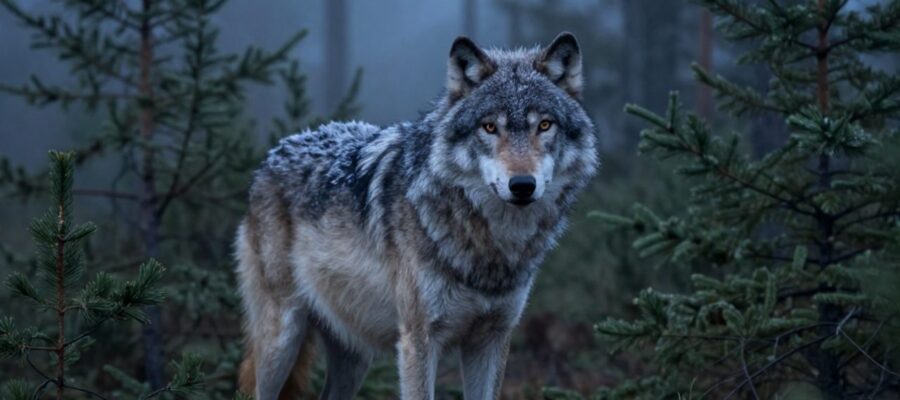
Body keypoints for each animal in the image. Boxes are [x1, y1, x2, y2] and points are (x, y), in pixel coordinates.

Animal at [236, 32, 598, 400]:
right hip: (281, 339)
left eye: (544, 125)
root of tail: (274, 152)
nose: (522, 185)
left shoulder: (492, 338)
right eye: (489, 127)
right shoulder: (419, 340)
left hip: (354, 354)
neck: (490, 248)